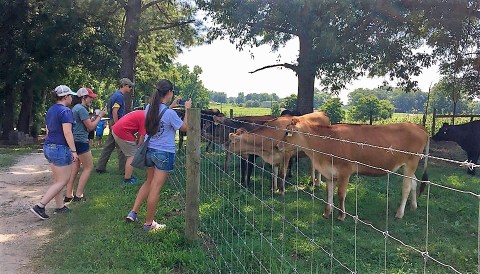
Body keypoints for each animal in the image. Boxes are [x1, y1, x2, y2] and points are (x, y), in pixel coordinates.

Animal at [284, 121, 430, 219]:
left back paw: (400, 213)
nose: (279, 146)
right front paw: (327, 212)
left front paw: (341, 215)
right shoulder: (330, 173)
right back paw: (413, 206)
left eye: (287, 133)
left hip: (412, 161)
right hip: (405, 165)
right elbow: (328, 193)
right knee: (414, 183)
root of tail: (418, 126)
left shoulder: (345, 171)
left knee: (406, 187)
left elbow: (341, 194)